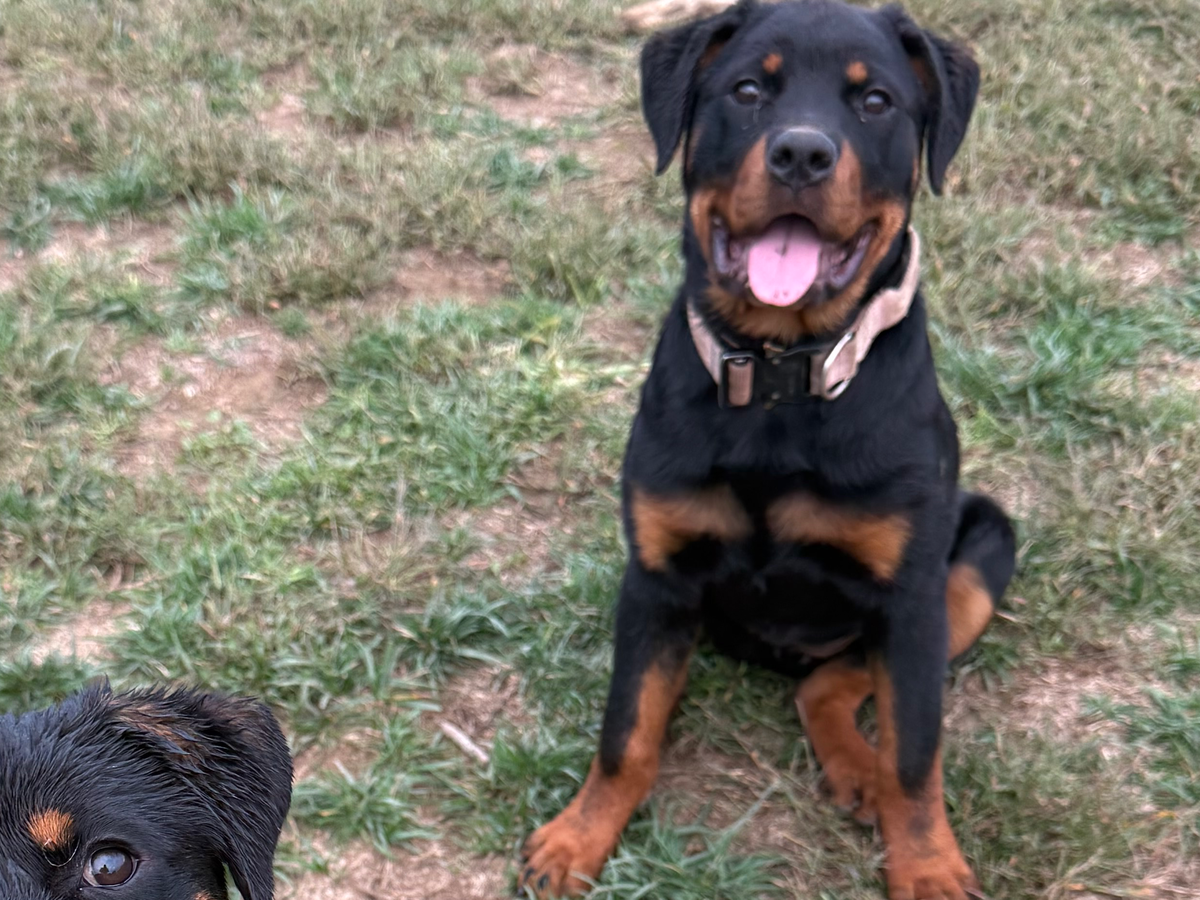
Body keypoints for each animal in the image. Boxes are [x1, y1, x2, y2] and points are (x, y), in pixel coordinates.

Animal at [520, 1, 1016, 897]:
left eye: (876, 101)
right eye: (748, 90)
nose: (801, 153)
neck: (783, 373)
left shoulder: (911, 599)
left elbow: (917, 759)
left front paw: (927, 867)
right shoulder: (655, 579)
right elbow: (626, 732)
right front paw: (577, 839)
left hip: (978, 558)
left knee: (836, 683)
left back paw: (860, 770)